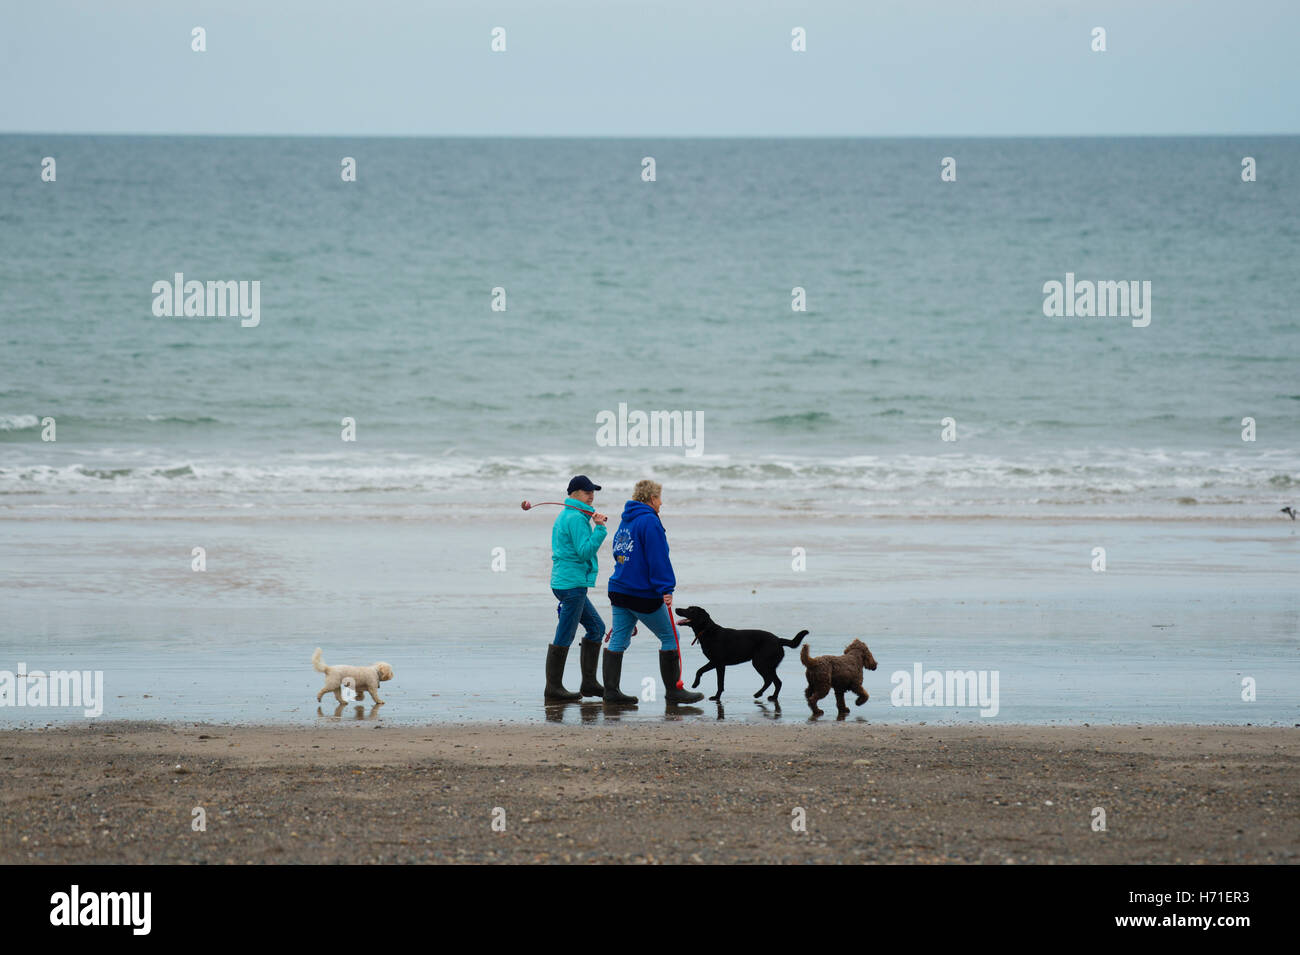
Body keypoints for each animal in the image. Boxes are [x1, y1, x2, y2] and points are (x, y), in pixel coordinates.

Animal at [676, 608, 806, 706]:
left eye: (691, 610)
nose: (677, 609)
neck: (707, 630)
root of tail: (779, 640)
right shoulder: (714, 662)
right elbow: (700, 670)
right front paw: (696, 684)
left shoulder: (718, 663)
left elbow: (718, 682)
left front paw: (715, 696)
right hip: (768, 665)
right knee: (777, 682)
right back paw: (773, 696)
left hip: (760, 663)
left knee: (770, 680)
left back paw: (759, 694)